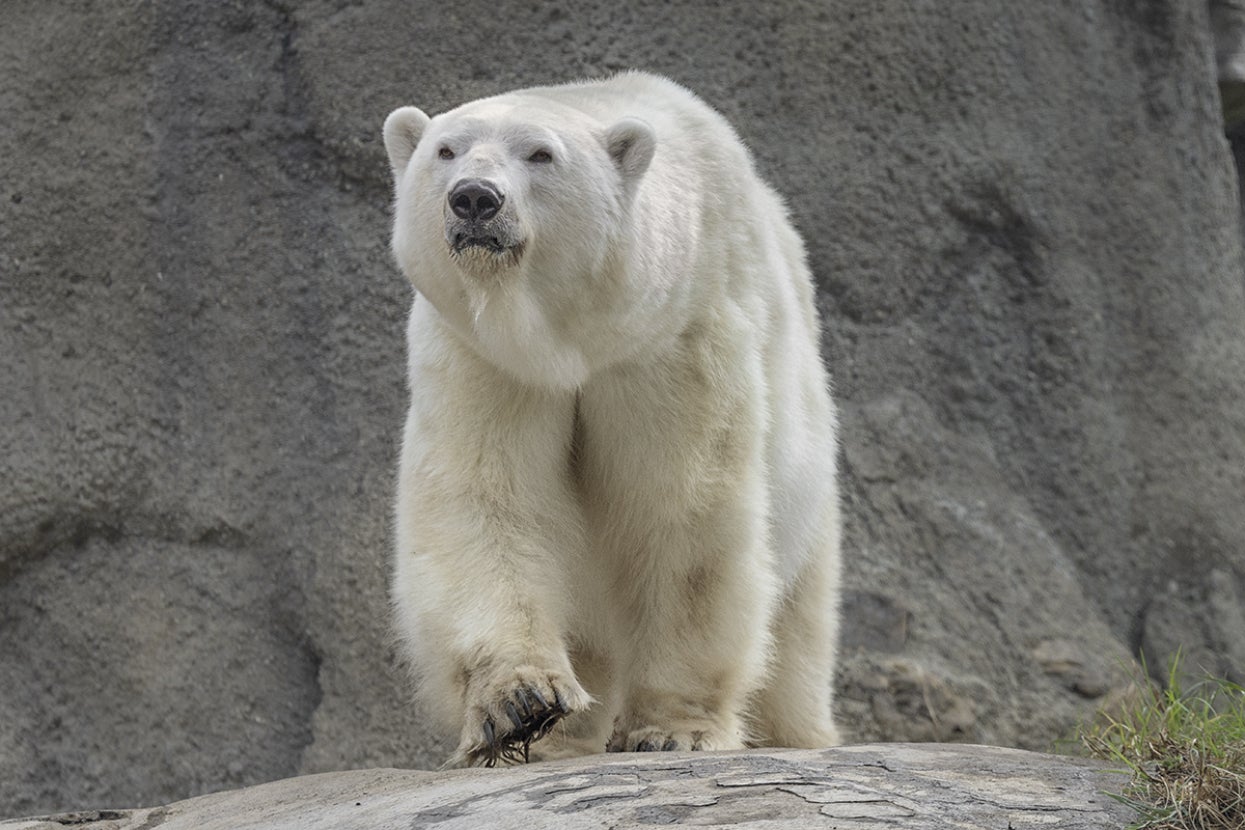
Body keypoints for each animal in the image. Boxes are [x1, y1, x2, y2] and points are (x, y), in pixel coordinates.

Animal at [383, 71, 842, 767]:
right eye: (446, 150)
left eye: (540, 154)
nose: (474, 199)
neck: (576, 337)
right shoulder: (482, 358)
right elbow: (486, 497)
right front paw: (520, 705)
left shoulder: (675, 340)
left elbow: (683, 515)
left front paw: (675, 729)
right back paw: (561, 739)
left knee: (800, 617)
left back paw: (801, 734)